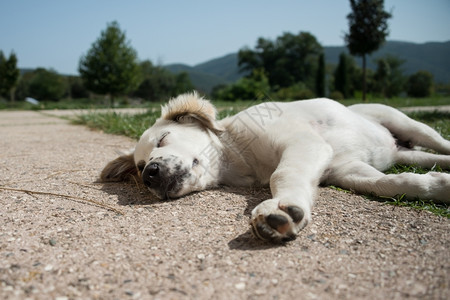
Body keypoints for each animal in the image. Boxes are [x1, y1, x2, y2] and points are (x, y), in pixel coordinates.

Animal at [101, 91, 450, 241]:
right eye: (140, 165)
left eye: (163, 138)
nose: (150, 174)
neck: (239, 157)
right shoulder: (346, 169)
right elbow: (389, 183)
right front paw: (436, 186)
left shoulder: (305, 144)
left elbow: (284, 173)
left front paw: (282, 207)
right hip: (408, 154)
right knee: (421, 159)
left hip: (406, 122)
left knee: (440, 142)